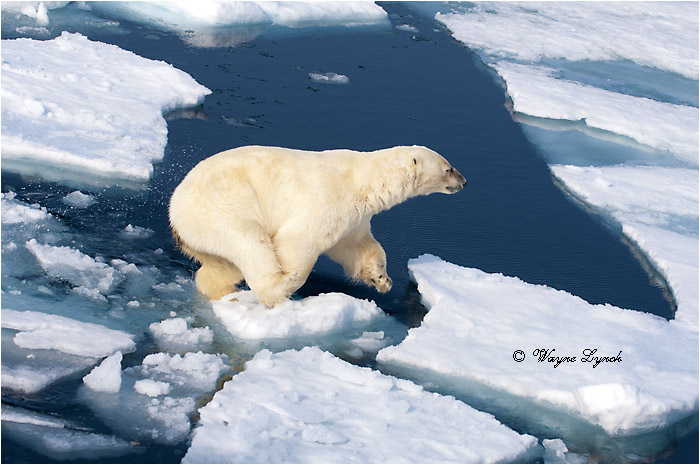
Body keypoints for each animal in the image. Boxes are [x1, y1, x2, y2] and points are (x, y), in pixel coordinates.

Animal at [169, 145, 466, 307]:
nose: (464, 181)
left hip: (204, 234)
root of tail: (175, 211)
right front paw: (292, 277)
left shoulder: (355, 218)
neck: (363, 181)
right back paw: (277, 287)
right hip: (224, 206)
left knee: (222, 265)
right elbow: (298, 240)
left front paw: (381, 279)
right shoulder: (328, 198)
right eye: (448, 168)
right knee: (250, 242)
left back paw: (225, 291)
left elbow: (358, 246)